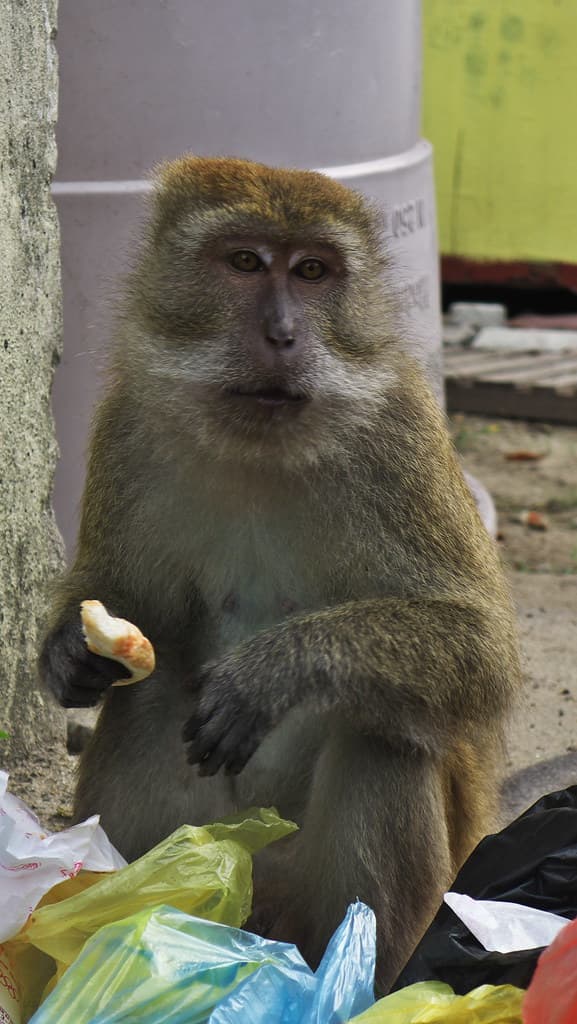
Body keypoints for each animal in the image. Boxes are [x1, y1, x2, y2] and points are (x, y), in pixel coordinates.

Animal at [39, 156, 521, 992]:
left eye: (312, 271)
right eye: (243, 262)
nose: (282, 334)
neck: (260, 443)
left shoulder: (398, 436)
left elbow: (479, 649)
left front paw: (276, 670)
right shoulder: (131, 422)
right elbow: (126, 600)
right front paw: (70, 650)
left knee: (382, 736)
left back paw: (350, 980)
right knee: (150, 702)